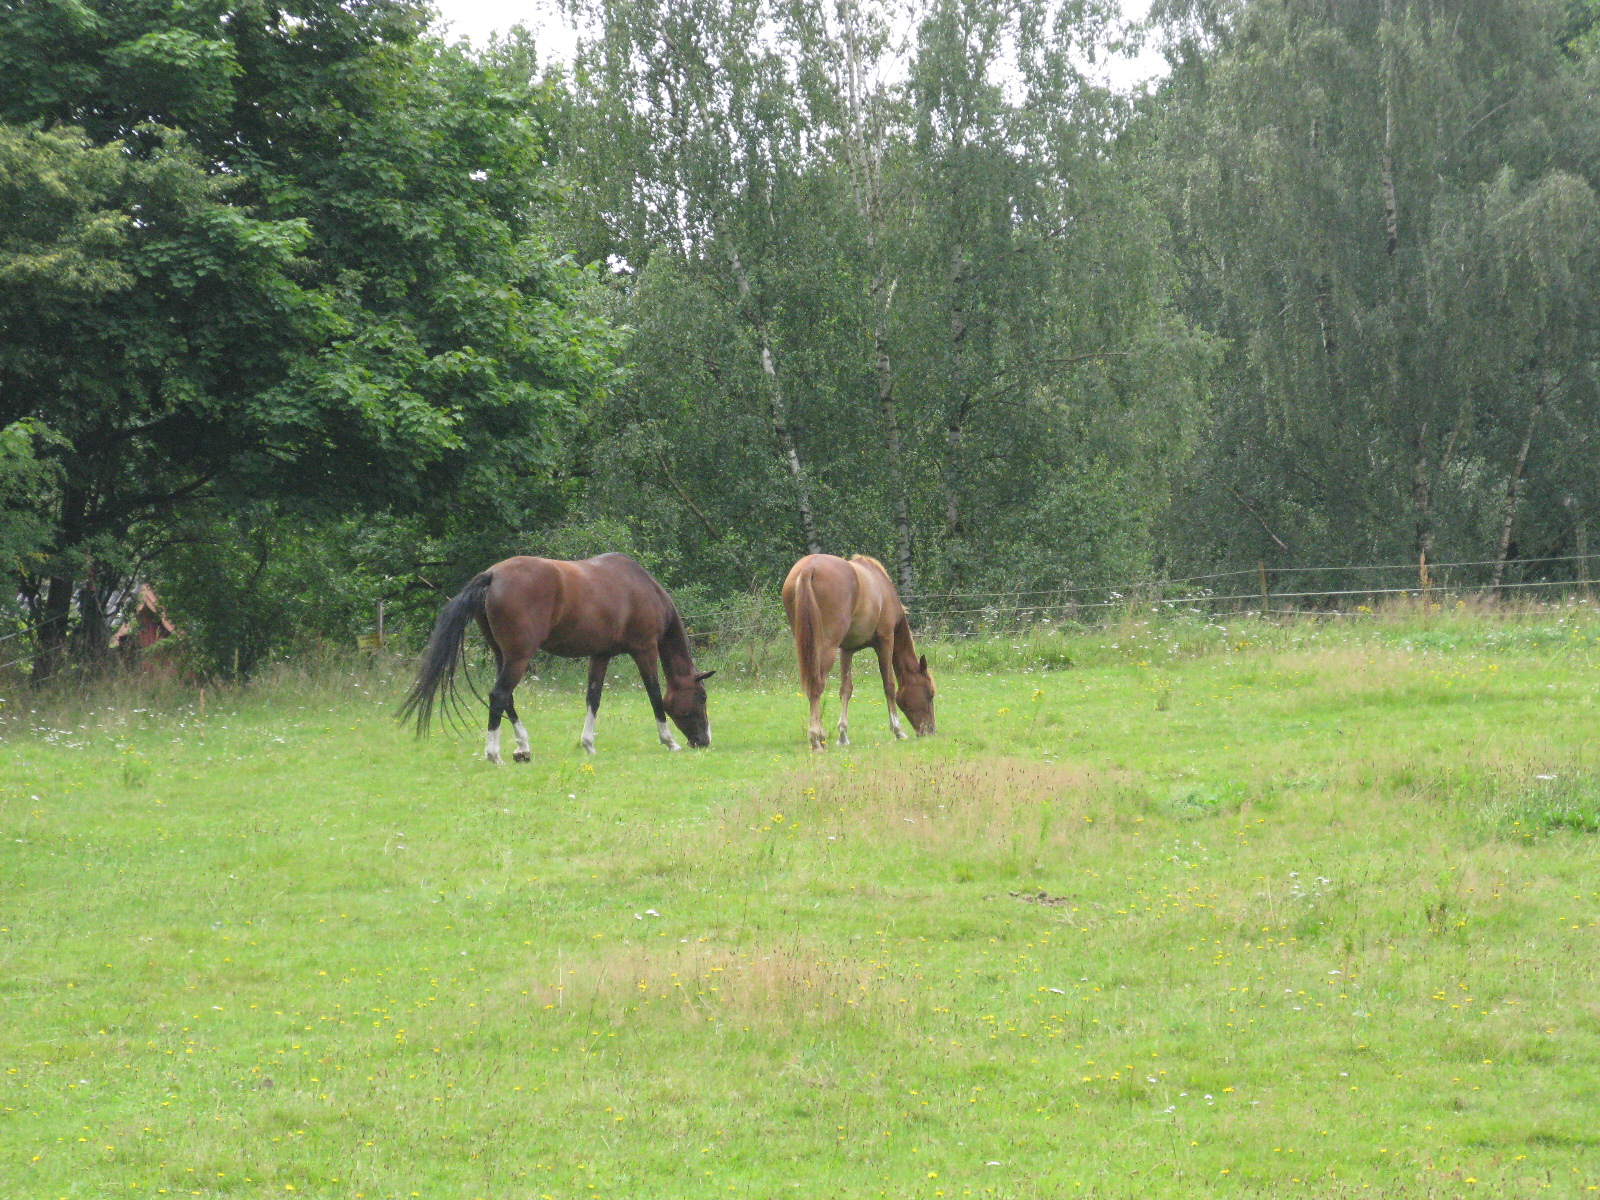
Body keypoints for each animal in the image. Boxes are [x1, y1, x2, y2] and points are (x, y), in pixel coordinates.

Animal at [403, 553, 716, 761]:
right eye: (701, 697)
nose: (704, 741)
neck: (640, 587)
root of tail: (493, 576)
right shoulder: (645, 649)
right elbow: (654, 695)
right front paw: (669, 741)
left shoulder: (600, 655)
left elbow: (593, 698)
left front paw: (588, 744)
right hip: (519, 657)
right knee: (499, 695)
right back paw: (494, 754)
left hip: (503, 656)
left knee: (507, 698)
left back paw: (523, 747)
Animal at [777, 556, 934, 752]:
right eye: (930, 694)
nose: (930, 731)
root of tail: (808, 568)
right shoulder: (885, 641)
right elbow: (889, 686)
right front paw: (898, 731)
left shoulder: (847, 650)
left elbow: (846, 690)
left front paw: (843, 736)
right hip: (827, 647)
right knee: (816, 685)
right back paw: (816, 738)